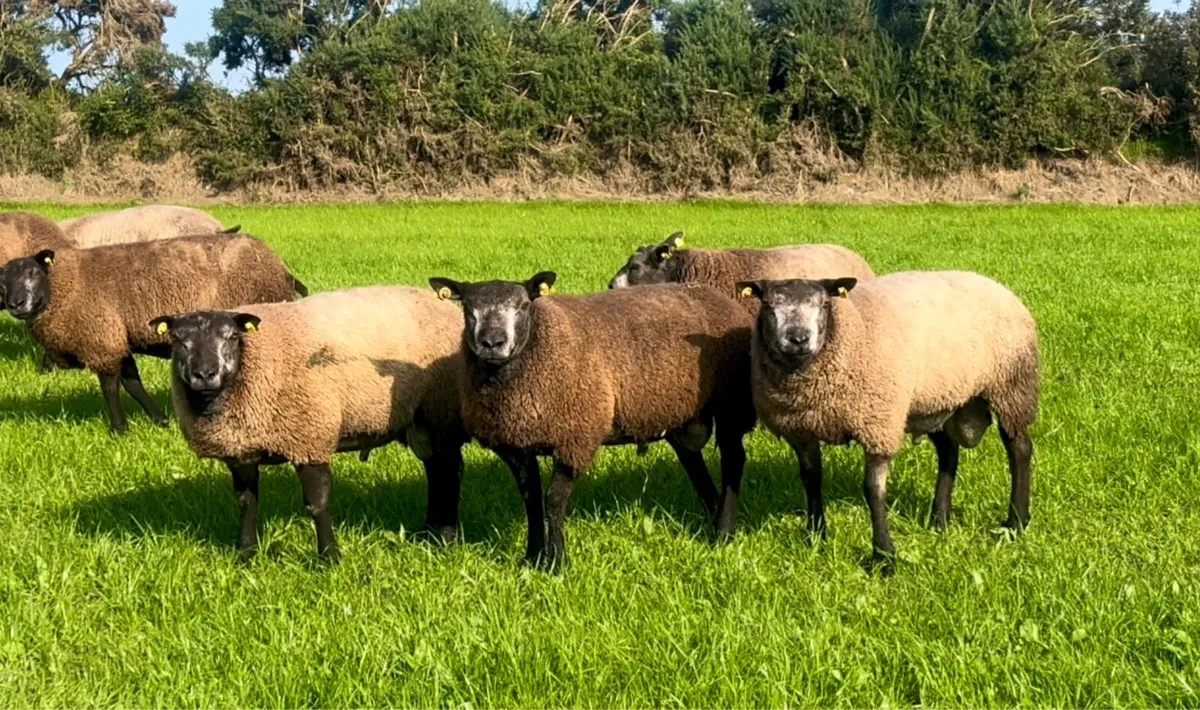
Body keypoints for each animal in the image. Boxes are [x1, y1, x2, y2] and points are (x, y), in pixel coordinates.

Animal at [0, 233, 306, 433]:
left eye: (33, 273)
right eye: (2, 282)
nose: (16, 304)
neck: (63, 287)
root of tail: (279, 266)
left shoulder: (101, 340)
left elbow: (110, 388)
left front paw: (119, 429)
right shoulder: (117, 339)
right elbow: (133, 384)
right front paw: (160, 420)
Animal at [148, 286, 467, 561]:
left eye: (231, 337)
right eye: (178, 340)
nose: (205, 374)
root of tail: (446, 307)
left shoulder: (309, 438)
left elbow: (318, 503)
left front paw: (329, 558)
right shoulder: (241, 451)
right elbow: (247, 502)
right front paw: (246, 553)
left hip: (440, 410)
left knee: (448, 470)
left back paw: (444, 537)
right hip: (422, 421)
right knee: (436, 469)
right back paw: (429, 533)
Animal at [427, 272, 757, 571]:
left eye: (522, 306)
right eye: (468, 307)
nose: (492, 342)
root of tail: (716, 295)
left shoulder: (576, 438)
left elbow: (553, 500)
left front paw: (556, 563)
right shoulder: (515, 445)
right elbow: (531, 501)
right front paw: (531, 558)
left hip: (730, 401)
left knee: (733, 460)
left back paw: (723, 532)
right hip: (677, 411)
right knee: (693, 461)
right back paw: (712, 516)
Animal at [737, 271, 1038, 570]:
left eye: (824, 303)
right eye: (768, 305)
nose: (798, 338)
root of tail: (994, 283)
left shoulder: (879, 425)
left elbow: (873, 490)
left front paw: (884, 556)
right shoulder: (801, 431)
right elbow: (811, 479)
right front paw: (815, 535)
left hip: (1011, 387)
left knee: (1019, 449)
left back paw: (1016, 522)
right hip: (937, 400)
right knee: (948, 453)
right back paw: (939, 520)